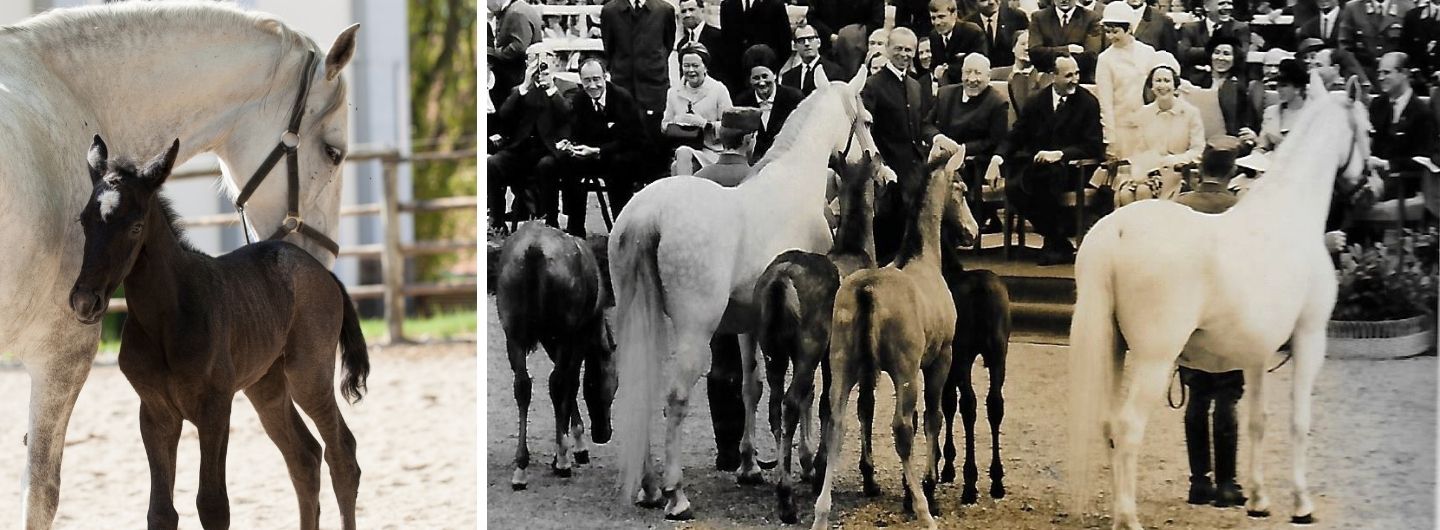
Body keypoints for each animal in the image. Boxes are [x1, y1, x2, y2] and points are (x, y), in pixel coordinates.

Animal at [0, 3, 358, 527]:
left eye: (134, 225)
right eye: (334, 152)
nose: (321, 259)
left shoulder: (207, 406)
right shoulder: (64, 355)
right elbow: (46, 493)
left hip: (295, 377)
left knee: (331, 454)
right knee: (311, 457)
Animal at [498, 221, 616, 489]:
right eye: (614, 387)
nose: (603, 434)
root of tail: (534, 250)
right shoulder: (578, 336)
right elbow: (571, 383)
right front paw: (574, 448)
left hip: (515, 336)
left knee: (523, 386)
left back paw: (521, 468)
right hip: (562, 334)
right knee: (558, 381)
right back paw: (562, 460)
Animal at [760, 151, 881, 524]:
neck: (856, 250)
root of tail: (781, 279)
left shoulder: (831, 356)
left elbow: (827, 403)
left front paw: (816, 468)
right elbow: (861, 406)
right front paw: (868, 478)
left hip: (772, 350)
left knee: (775, 404)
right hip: (807, 347)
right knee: (789, 402)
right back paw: (785, 498)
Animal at [1071, 75, 1370, 530]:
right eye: (1368, 129)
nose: (1372, 181)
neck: (1290, 214)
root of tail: (1117, 229)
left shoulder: (1259, 352)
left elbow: (1257, 421)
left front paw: (1259, 500)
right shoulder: (1310, 338)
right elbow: (1298, 421)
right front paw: (1302, 505)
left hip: (1113, 348)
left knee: (1107, 425)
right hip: (1154, 360)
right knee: (1128, 428)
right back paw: (1129, 518)